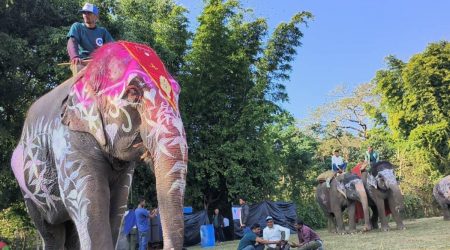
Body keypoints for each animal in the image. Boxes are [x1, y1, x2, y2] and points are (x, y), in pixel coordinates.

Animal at [10, 40, 187, 248]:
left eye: (177, 93)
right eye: (133, 93)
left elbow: (117, 205)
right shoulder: (69, 142)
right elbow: (91, 204)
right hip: (27, 189)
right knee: (51, 232)